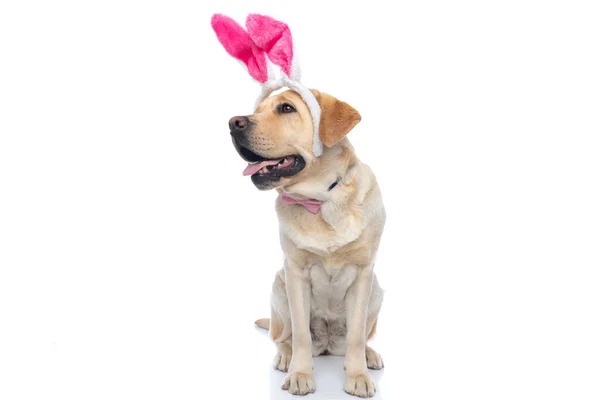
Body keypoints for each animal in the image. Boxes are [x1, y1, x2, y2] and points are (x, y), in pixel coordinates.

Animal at [227, 87, 386, 396]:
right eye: (258, 109)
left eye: (286, 108)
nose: (233, 122)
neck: (321, 200)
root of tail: (327, 344)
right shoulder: (296, 273)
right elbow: (300, 334)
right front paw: (300, 374)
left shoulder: (363, 274)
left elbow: (356, 335)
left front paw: (358, 375)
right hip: (279, 287)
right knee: (283, 337)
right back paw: (285, 357)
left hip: (377, 291)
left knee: (361, 336)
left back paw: (369, 355)